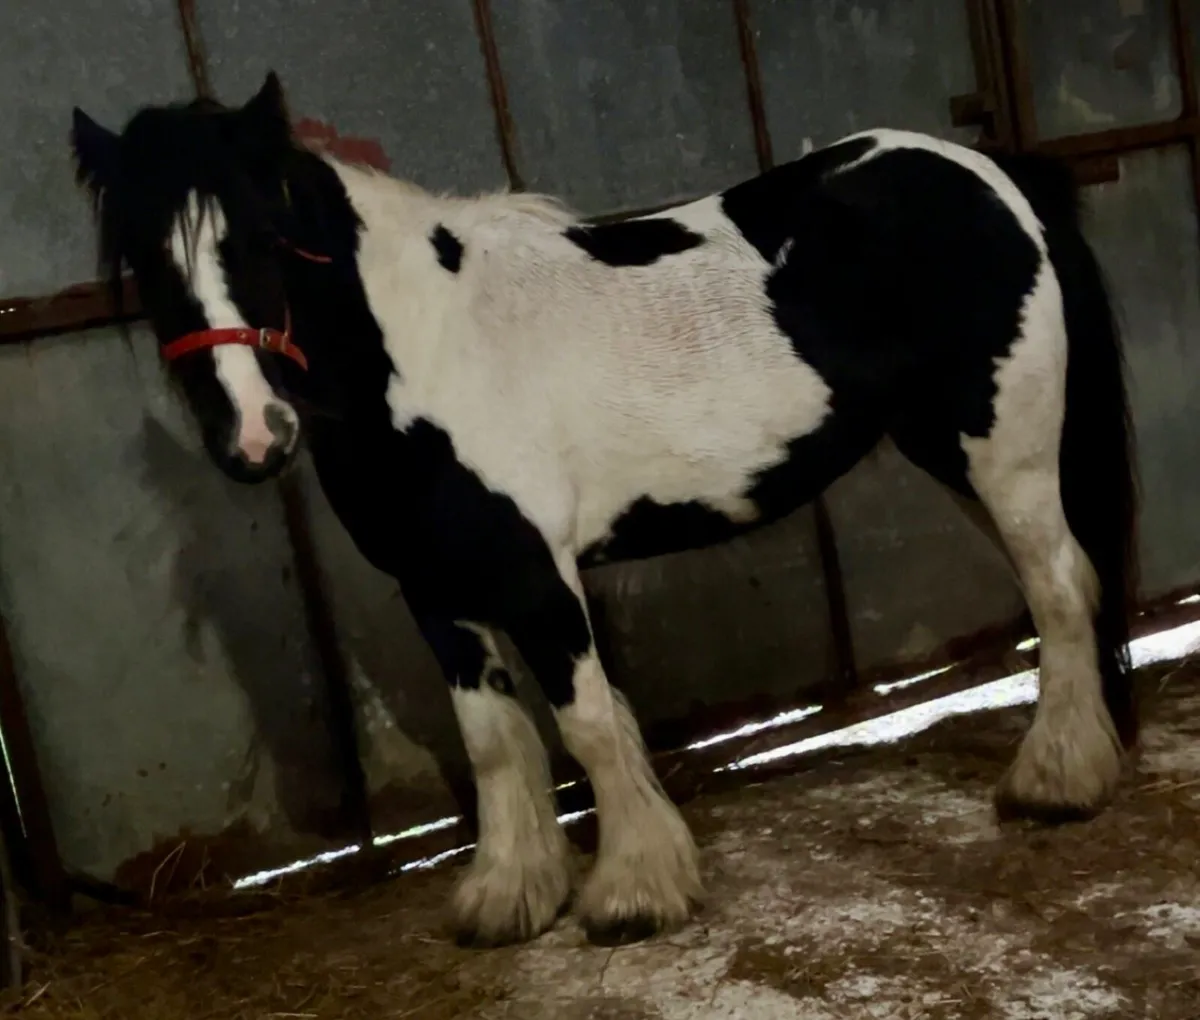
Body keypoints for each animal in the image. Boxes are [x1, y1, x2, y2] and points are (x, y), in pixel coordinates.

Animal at [70, 71, 1138, 948]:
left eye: (260, 240)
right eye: (146, 264)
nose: (256, 436)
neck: (425, 351)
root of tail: (988, 172)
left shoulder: (538, 577)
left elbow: (585, 727)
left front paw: (631, 895)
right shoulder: (437, 591)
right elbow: (495, 742)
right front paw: (506, 899)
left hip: (1004, 452)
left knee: (1057, 588)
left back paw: (1055, 783)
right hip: (958, 459)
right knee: (1066, 583)